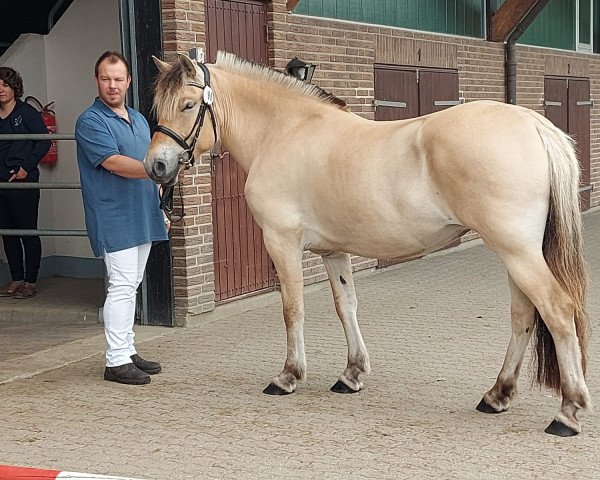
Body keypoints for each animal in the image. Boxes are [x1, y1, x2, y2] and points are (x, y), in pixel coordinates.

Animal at [145, 51, 592, 436]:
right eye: (156, 107)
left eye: (188, 105)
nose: (156, 166)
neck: (284, 131)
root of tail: (535, 125)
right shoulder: (333, 251)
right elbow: (346, 306)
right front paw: (352, 374)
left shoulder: (282, 243)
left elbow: (292, 309)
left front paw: (289, 376)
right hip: (517, 254)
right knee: (523, 317)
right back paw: (497, 395)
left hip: (517, 252)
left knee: (557, 311)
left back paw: (567, 413)